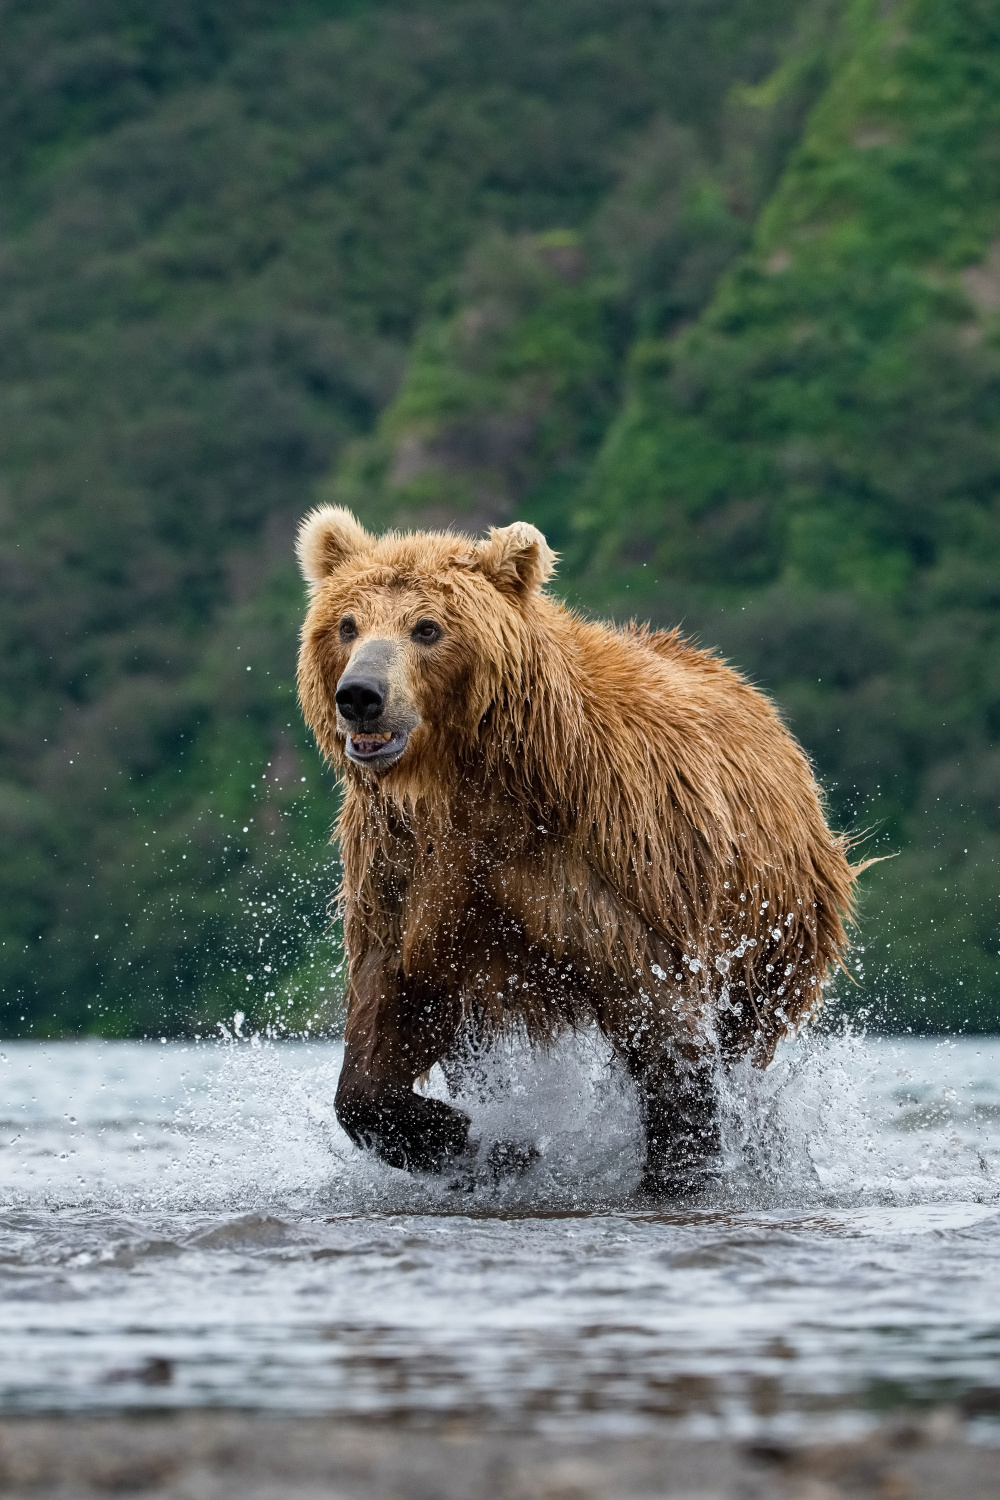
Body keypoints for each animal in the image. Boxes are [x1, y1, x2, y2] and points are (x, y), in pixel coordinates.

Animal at [295, 510, 863, 1188]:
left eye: (427, 627)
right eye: (347, 623)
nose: (360, 695)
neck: (471, 785)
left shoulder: (601, 871)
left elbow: (661, 1027)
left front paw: (677, 1165)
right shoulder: (407, 873)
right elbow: (388, 1014)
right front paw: (460, 1135)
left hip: (771, 929)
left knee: (742, 1043)